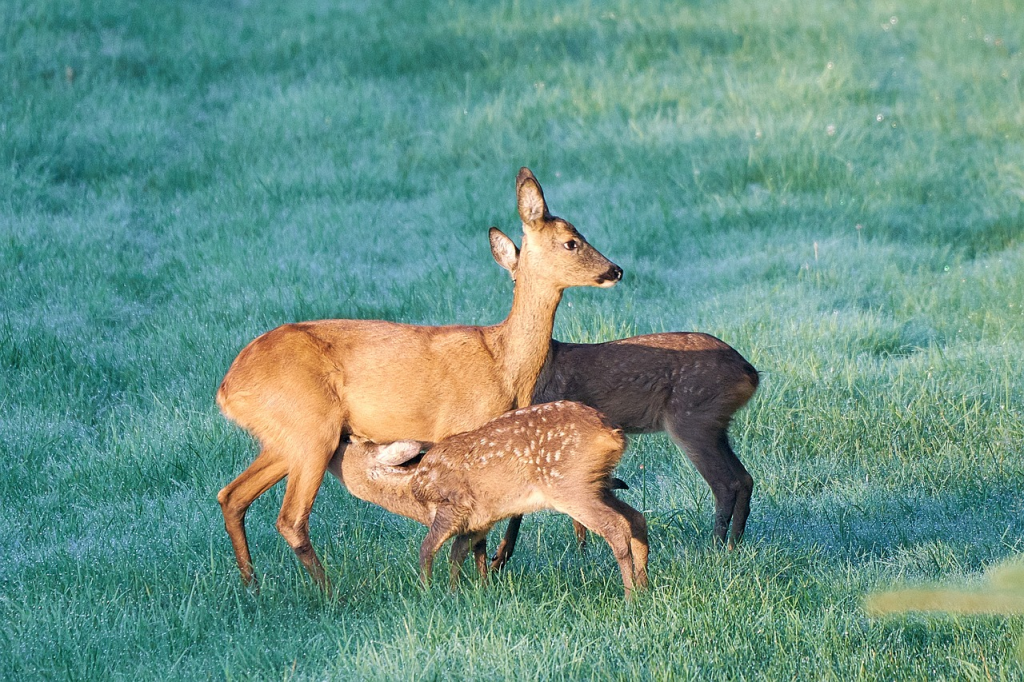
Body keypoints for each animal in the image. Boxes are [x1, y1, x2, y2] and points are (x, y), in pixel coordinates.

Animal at [214, 166, 622, 585]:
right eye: (572, 242)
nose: (615, 270)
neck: (504, 363)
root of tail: (227, 388)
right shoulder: (459, 427)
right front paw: (481, 573)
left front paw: (487, 571)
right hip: (310, 428)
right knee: (290, 518)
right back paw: (329, 592)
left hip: (286, 440)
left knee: (232, 496)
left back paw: (251, 586)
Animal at [339, 399, 651, 593]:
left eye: (349, 441)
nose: (338, 435)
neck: (413, 488)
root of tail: (611, 433)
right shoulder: (480, 520)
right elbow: (460, 553)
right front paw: (465, 592)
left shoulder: (453, 506)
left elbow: (428, 548)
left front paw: (426, 592)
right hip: (596, 485)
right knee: (636, 519)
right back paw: (644, 586)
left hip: (571, 486)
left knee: (616, 526)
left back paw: (629, 596)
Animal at [487, 250, 761, 569]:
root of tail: (750, 373)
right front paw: (582, 551)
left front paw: (500, 557)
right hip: (715, 425)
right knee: (745, 479)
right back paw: (733, 545)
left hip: (692, 419)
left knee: (727, 483)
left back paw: (716, 548)